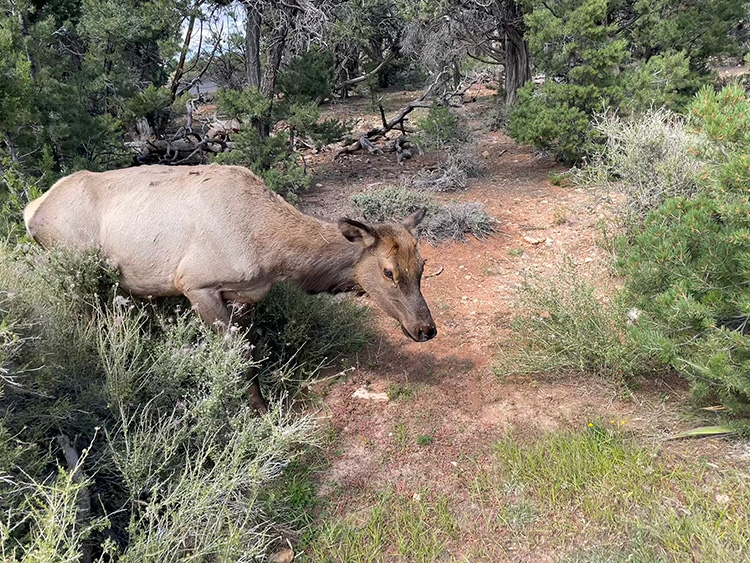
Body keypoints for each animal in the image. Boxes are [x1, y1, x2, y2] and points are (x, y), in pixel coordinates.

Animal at [23, 163, 438, 414]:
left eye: (421, 266)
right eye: (388, 272)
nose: (426, 328)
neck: (272, 255)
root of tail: (31, 210)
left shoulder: (246, 295)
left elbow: (251, 357)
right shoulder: (196, 284)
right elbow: (237, 359)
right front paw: (257, 410)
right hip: (79, 270)